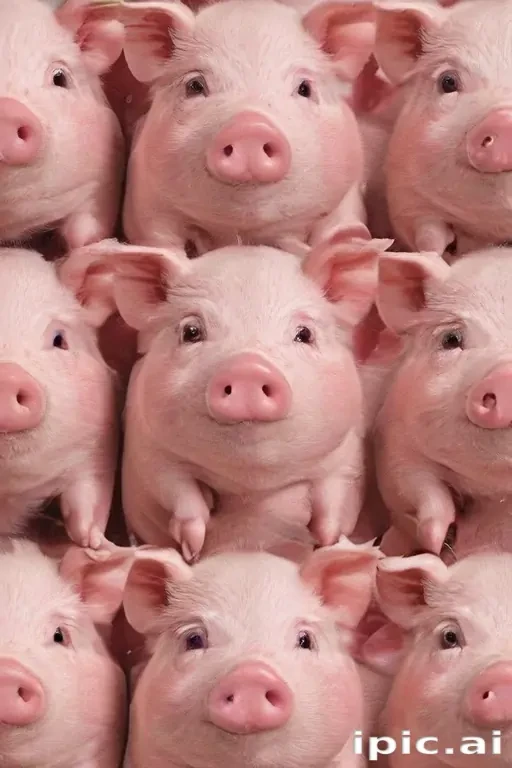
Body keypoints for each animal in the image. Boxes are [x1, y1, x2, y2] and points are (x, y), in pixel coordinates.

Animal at [96, 234, 391, 560]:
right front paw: (191, 550)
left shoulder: (348, 454)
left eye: (304, 333)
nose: (248, 368)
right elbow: (179, 494)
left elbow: (333, 499)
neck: (251, 485)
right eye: (191, 331)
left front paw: (326, 542)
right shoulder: (149, 452)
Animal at [120, 0, 375, 255]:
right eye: (195, 86)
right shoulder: (146, 199)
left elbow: (339, 227)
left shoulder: (347, 193)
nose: (251, 127)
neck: (243, 233)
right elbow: (161, 242)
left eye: (304, 88)